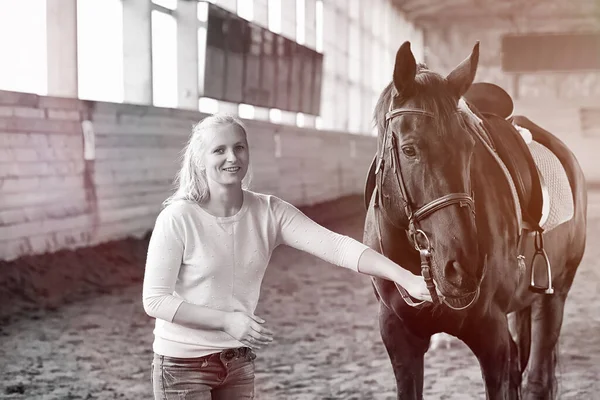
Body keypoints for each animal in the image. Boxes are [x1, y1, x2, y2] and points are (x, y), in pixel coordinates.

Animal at [364, 41, 588, 400]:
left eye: (469, 148)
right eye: (410, 150)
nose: (464, 267)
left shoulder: (489, 333)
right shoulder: (398, 336)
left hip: (554, 297)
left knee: (537, 379)